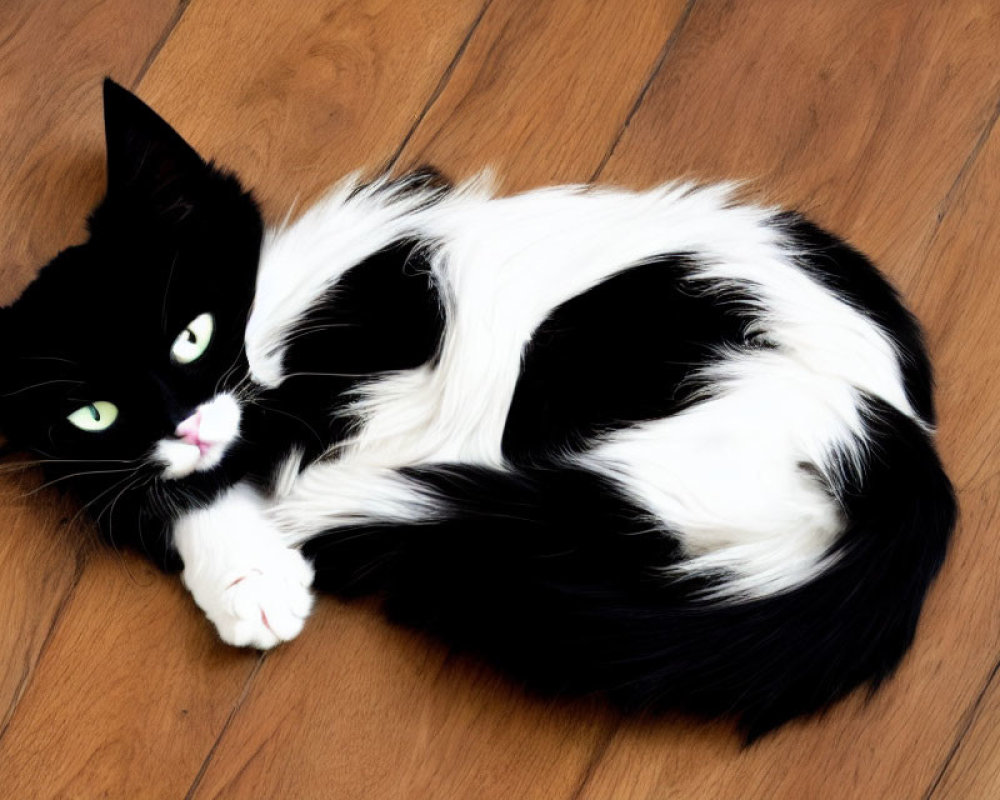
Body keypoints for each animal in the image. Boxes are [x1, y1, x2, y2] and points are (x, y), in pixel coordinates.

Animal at [0, 81, 956, 736]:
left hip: (591, 356)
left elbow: (247, 448)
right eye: (93, 414)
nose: (184, 422)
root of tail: (900, 446)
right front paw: (243, 573)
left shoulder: (389, 316)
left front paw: (257, 550)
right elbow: (154, 487)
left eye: (191, 335)